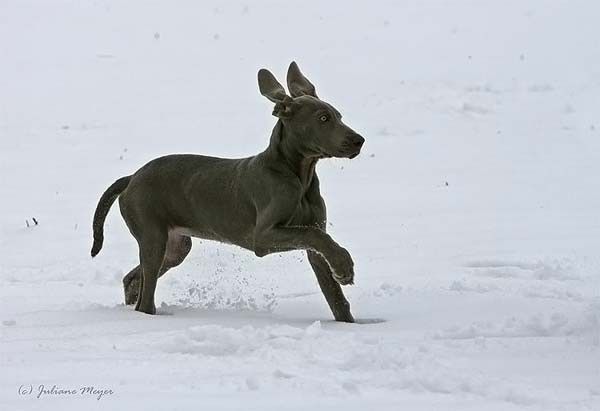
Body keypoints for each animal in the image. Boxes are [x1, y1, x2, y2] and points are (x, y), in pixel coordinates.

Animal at [92, 62, 366, 324]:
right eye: (323, 118)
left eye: (339, 116)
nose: (359, 141)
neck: (297, 175)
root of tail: (132, 177)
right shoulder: (263, 237)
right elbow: (314, 236)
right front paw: (344, 265)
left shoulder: (314, 246)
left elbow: (336, 297)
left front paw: (348, 320)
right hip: (153, 236)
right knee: (146, 297)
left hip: (174, 246)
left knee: (133, 279)